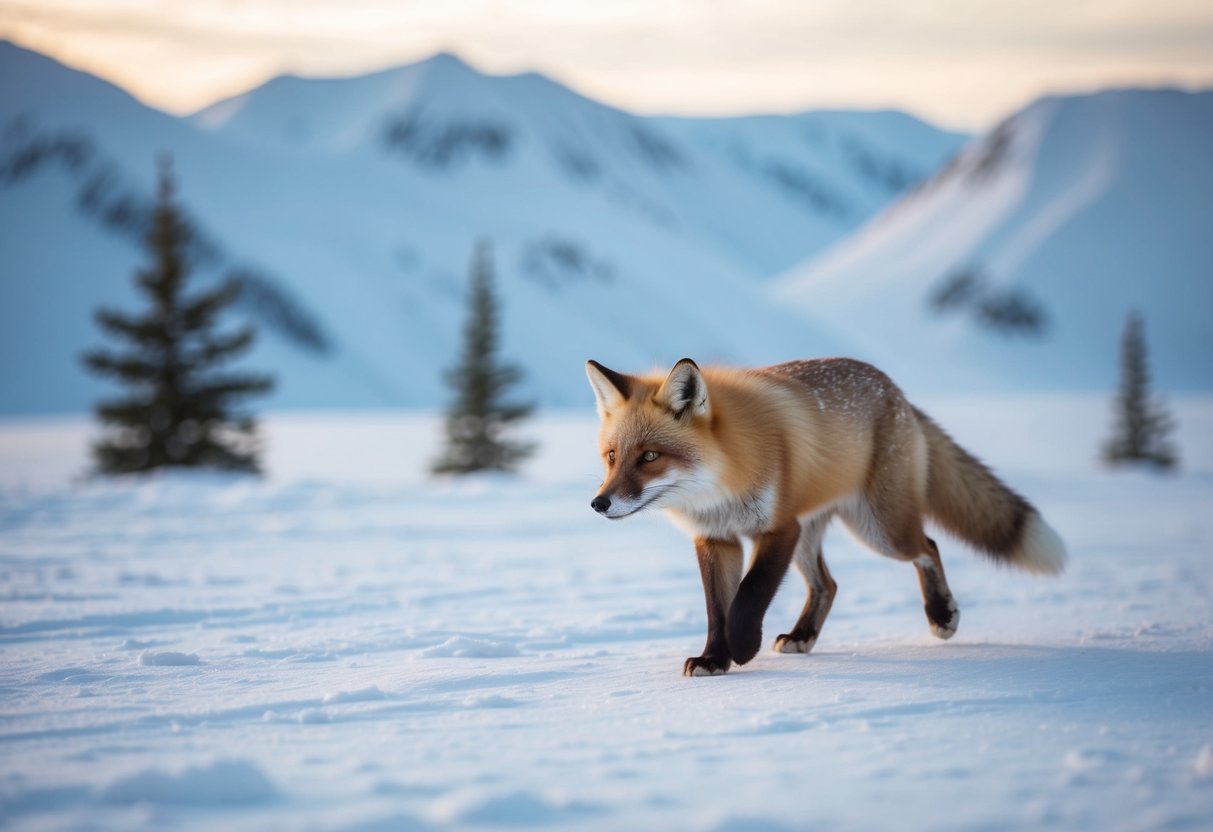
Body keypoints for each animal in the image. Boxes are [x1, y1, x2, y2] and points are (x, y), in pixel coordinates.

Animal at [586, 357, 1067, 677]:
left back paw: (941, 616)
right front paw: (714, 658)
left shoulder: (779, 528)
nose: (599, 503)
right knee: (828, 585)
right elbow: (717, 609)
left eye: (650, 456)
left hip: (878, 528)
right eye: (612, 457)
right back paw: (803, 636)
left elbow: (748, 597)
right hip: (815, 536)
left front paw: (743, 647)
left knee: (927, 546)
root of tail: (894, 389)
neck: (723, 481)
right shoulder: (716, 539)